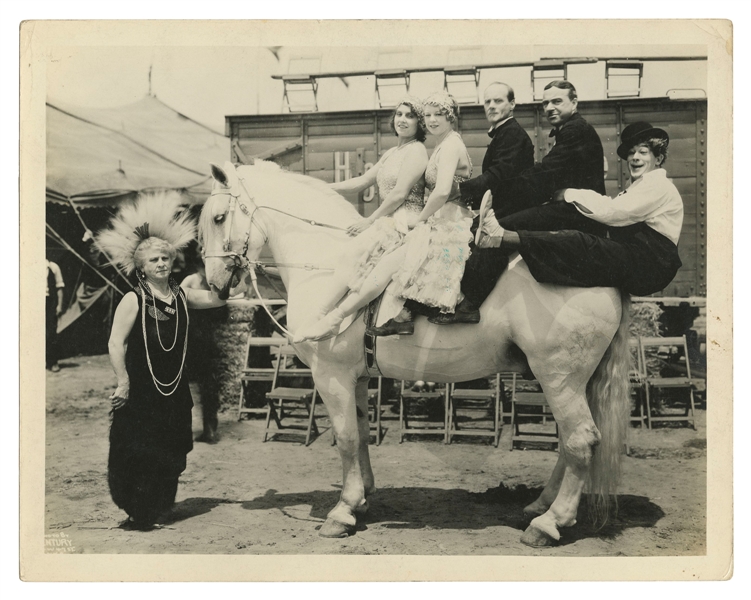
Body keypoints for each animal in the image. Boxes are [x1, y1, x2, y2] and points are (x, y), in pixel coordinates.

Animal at [201, 161, 636, 548]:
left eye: (219, 218)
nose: (214, 284)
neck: (330, 263)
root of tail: (609, 272)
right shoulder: (355, 378)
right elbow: (361, 434)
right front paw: (361, 499)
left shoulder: (331, 377)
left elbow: (344, 438)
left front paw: (342, 512)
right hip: (569, 381)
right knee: (570, 442)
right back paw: (541, 506)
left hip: (558, 377)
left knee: (580, 440)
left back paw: (549, 523)